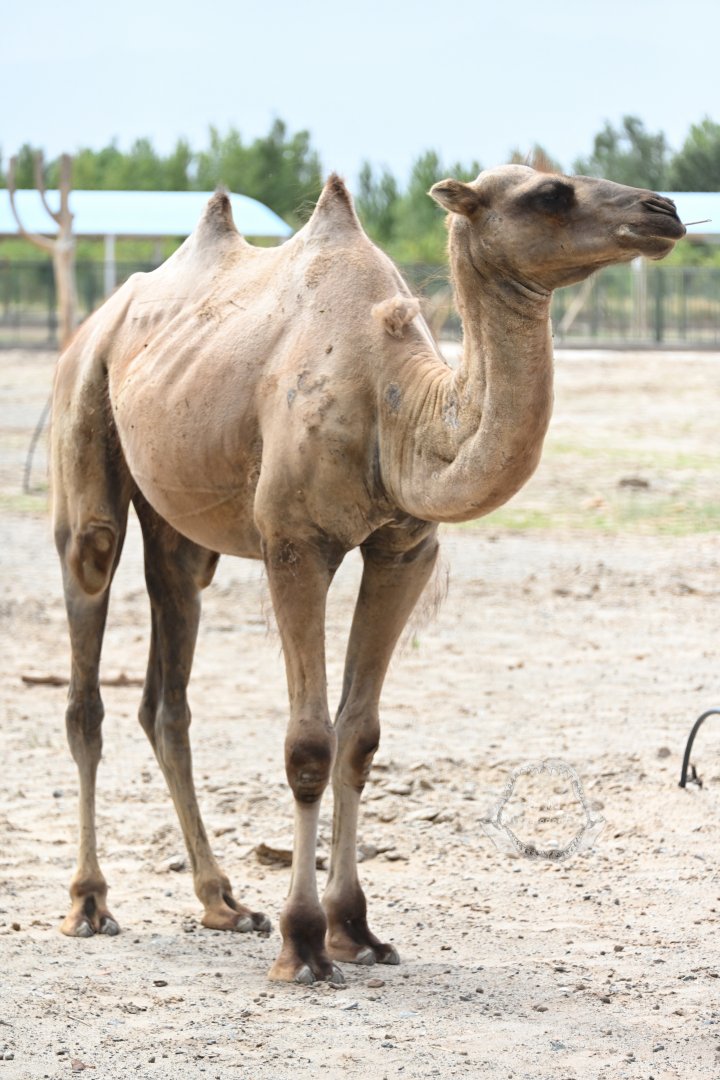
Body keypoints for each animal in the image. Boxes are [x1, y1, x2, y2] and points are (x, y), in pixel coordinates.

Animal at [51, 165, 684, 986]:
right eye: (549, 193)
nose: (663, 211)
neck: (399, 408)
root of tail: (97, 322)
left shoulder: (404, 549)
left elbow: (358, 737)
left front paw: (355, 928)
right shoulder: (294, 545)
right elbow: (309, 746)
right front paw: (302, 944)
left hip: (180, 524)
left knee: (168, 690)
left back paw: (224, 902)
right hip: (84, 420)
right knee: (87, 657)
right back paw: (90, 904)